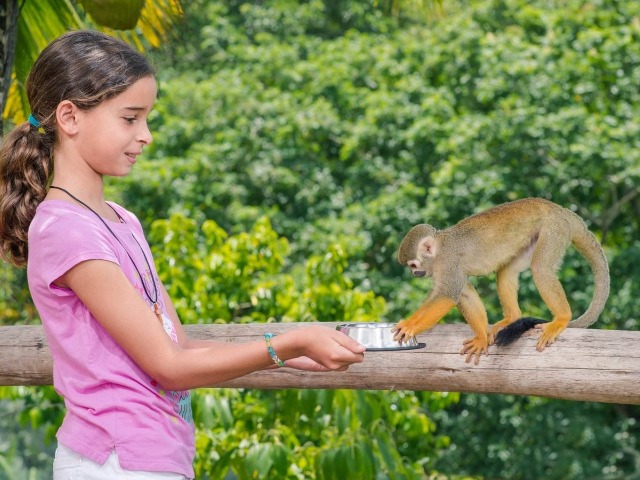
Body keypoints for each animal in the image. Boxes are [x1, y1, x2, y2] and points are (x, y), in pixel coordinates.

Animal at [392, 198, 610, 364]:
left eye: (413, 265)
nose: (415, 274)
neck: (438, 252)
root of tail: (560, 209)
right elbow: (464, 293)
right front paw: (481, 338)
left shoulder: (449, 262)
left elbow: (447, 295)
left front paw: (409, 326)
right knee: (506, 271)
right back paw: (512, 317)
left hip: (554, 230)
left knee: (540, 269)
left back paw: (562, 319)